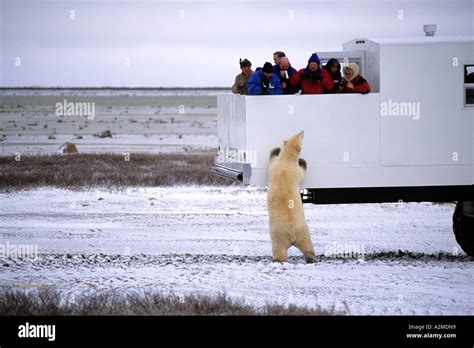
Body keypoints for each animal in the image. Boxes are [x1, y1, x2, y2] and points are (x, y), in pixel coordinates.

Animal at [266, 130, 314, 264]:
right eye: (299, 135)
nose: (302, 130)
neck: (286, 161)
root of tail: (292, 234)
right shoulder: (288, 169)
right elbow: (301, 173)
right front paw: (302, 161)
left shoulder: (280, 168)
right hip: (285, 233)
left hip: (294, 232)